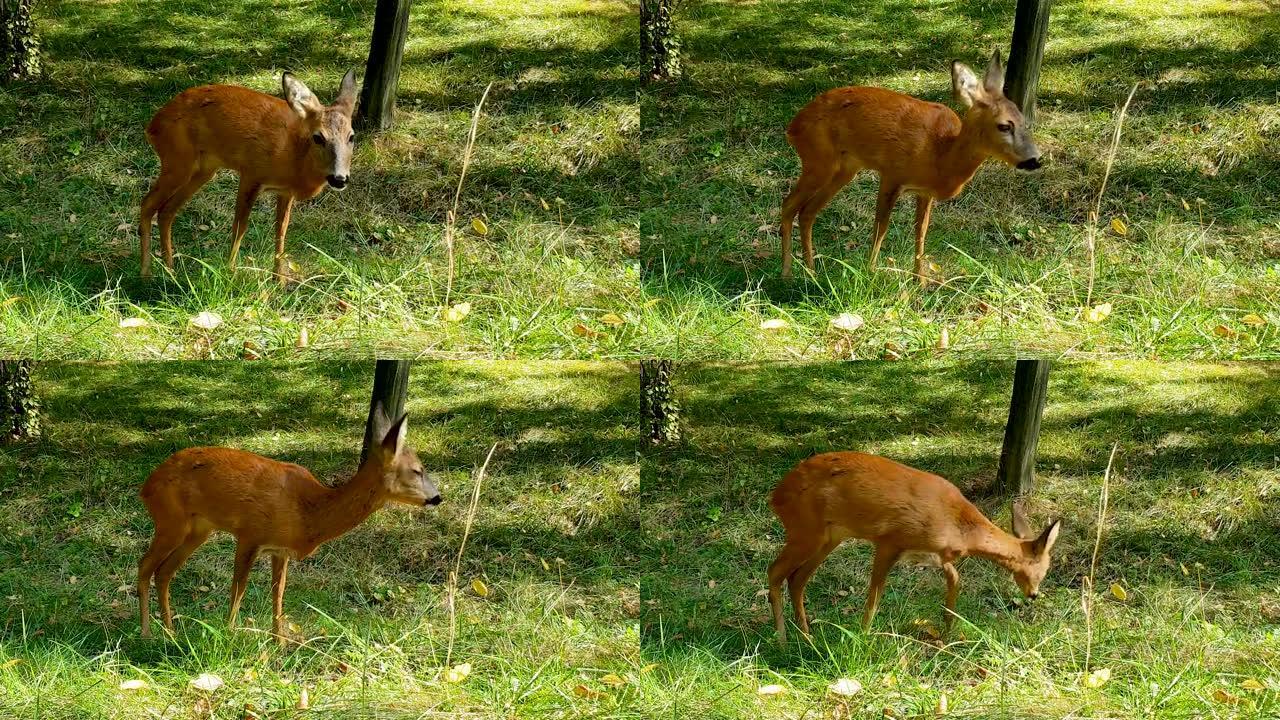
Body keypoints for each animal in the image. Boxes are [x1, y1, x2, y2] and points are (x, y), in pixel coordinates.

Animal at [135, 399, 442, 640]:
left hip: (199, 529)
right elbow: (239, 588)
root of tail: (146, 486)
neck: (308, 511)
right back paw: (148, 633)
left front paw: (278, 644)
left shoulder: (279, 550)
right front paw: (229, 635)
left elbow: (278, 593)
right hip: (170, 520)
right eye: (417, 470)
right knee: (145, 565)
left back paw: (171, 631)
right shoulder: (250, 534)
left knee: (164, 571)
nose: (437, 497)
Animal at [139, 70, 358, 283]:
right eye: (318, 137)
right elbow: (240, 227)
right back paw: (146, 274)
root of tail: (152, 127)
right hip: (177, 160)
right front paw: (230, 274)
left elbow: (281, 230)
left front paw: (279, 280)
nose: (339, 178)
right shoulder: (251, 173)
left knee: (167, 210)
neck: (293, 156)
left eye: (351, 136)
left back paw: (170, 270)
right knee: (148, 203)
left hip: (203, 170)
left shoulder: (285, 192)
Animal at [768, 450, 1059, 640]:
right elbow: (874, 598)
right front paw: (863, 639)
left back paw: (807, 637)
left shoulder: (935, 554)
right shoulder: (890, 541)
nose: (1034, 594)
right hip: (806, 531)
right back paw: (782, 640)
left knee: (796, 579)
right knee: (775, 571)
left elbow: (955, 579)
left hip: (830, 537)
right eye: (1042, 569)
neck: (959, 527)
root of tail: (776, 496)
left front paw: (949, 631)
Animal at [778, 49, 1039, 283]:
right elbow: (881, 227)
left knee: (807, 211)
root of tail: (793, 128)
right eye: (1004, 126)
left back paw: (811, 272)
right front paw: (870, 274)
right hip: (818, 160)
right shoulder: (892, 174)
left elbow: (920, 231)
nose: (1035, 160)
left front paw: (919, 281)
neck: (939, 156)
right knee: (789, 204)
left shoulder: (924, 193)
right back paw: (788, 273)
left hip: (844, 169)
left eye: (1024, 121)